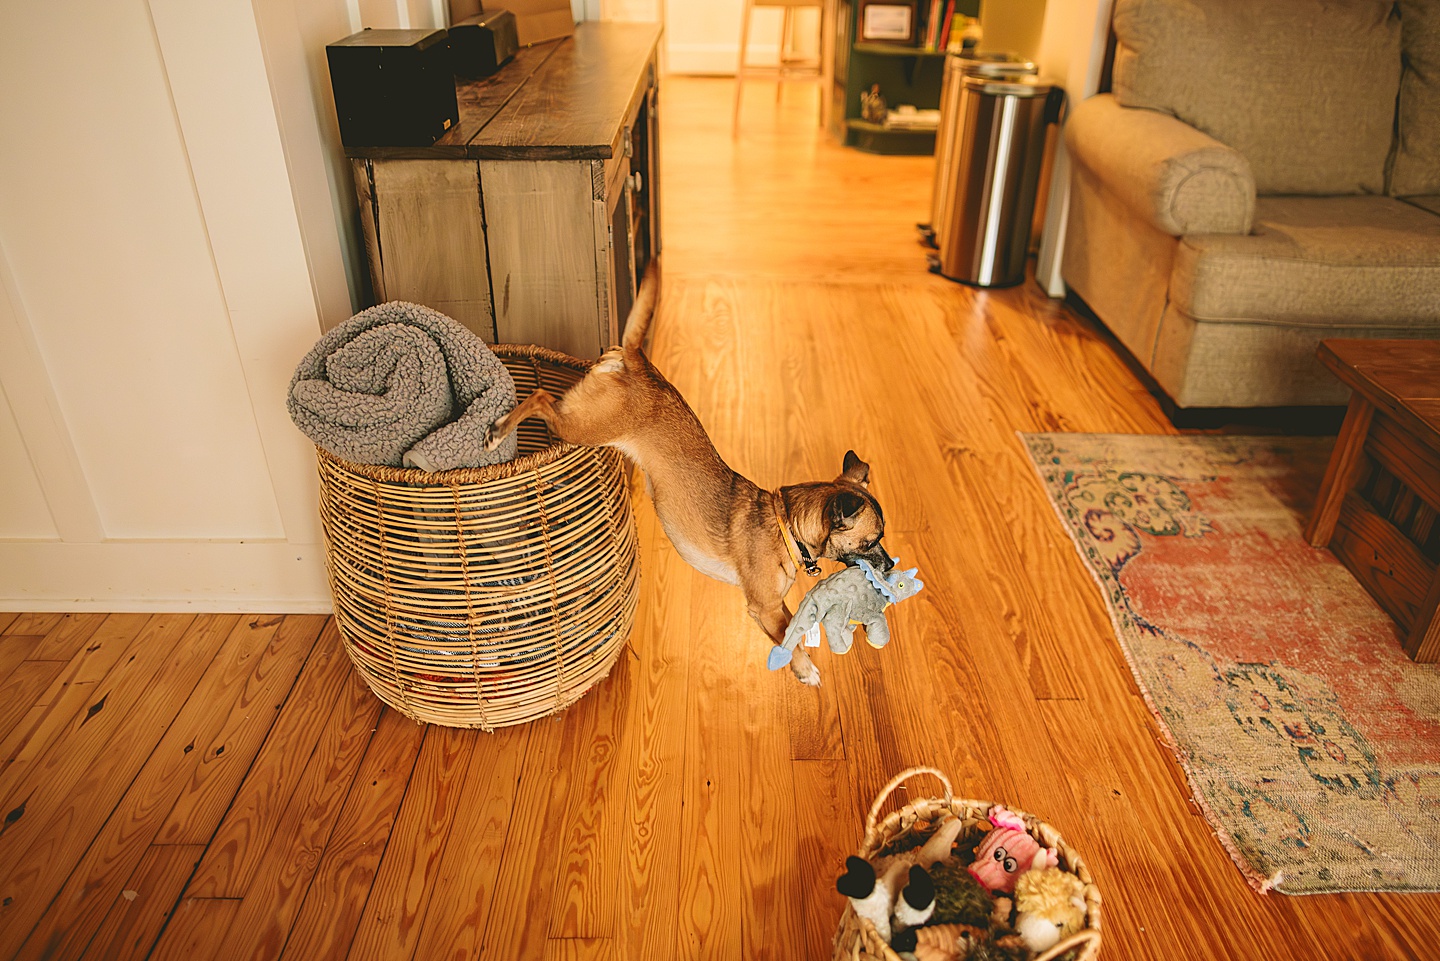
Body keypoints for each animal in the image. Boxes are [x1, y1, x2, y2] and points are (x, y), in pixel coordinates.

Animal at [486, 269, 887, 682]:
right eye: (871, 541)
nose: (890, 566)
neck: (784, 526)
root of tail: (638, 362)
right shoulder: (767, 608)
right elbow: (789, 636)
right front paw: (805, 670)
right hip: (582, 426)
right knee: (538, 397)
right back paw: (497, 430)